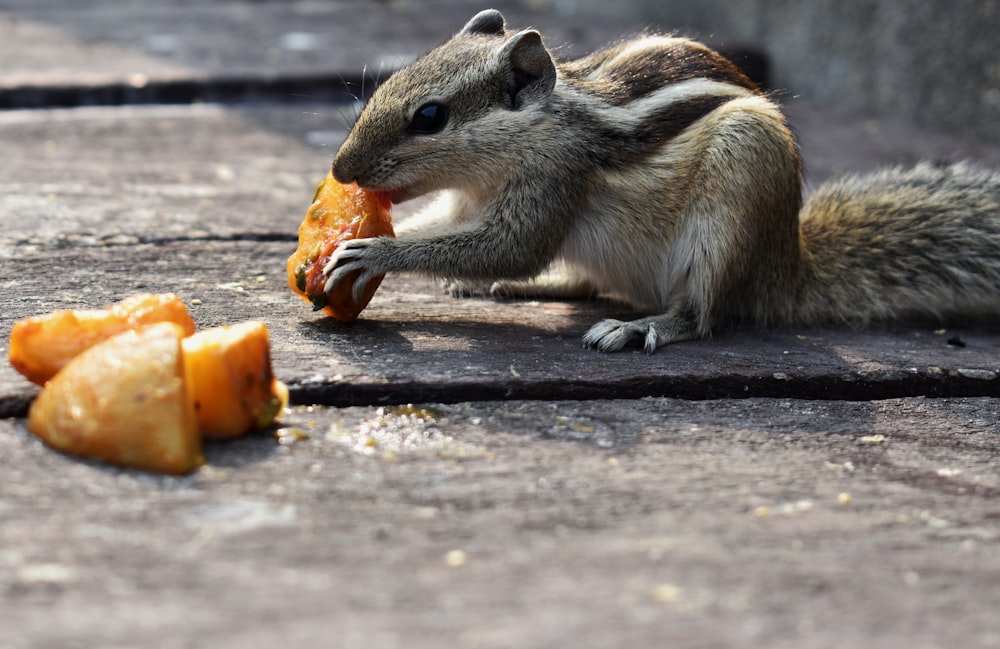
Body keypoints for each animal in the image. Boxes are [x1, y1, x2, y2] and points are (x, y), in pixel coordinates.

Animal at [326, 7, 1000, 352]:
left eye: (430, 117)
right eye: (393, 80)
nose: (340, 170)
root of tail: (788, 265)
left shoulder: (554, 180)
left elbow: (510, 246)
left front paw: (373, 251)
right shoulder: (471, 199)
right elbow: (451, 228)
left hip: (738, 188)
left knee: (701, 313)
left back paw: (643, 326)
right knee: (590, 282)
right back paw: (530, 289)